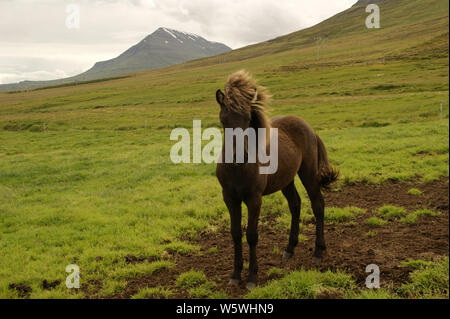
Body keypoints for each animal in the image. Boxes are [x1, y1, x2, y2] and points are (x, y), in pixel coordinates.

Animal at [214, 71, 338, 292]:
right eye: (224, 121)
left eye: (248, 119)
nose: (240, 156)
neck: (237, 169)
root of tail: (309, 128)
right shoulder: (229, 198)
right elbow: (235, 233)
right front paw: (235, 275)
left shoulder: (254, 199)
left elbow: (252, 235)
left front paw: (252, 278)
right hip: (286, 181)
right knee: (295, 204)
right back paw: (290, 248)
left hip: (308, 174)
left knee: (318, 205)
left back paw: (318, 252)